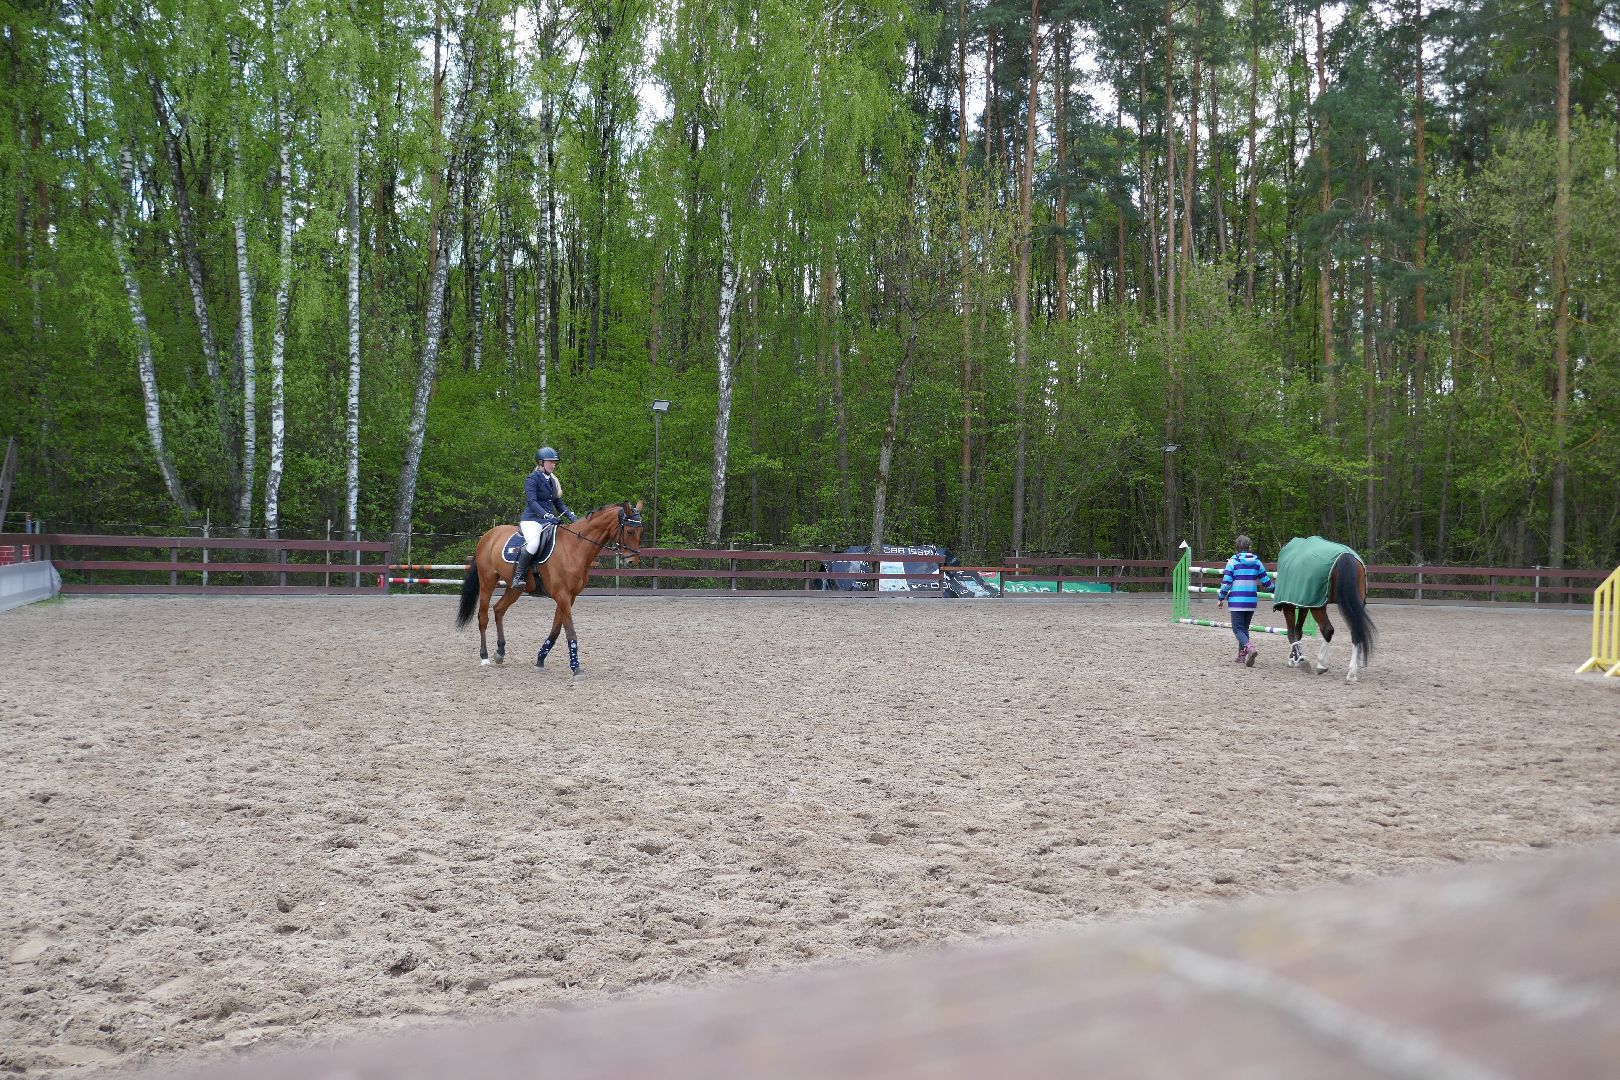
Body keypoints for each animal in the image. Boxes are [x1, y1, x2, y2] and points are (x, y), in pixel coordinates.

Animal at [454, 501, 643, 676]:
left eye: (640, 531)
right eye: (630, 531)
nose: (632, 561)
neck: (574, 548)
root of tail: (488, 535)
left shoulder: (570, 597)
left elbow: (556, 630)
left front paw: (540, 660)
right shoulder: (562, 595)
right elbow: (570, 631)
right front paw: (576, 668)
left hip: (514, 588)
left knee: (499, 609)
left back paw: (500, 653)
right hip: (487, 582)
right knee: (483, 617)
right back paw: (484, 657)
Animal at [1272, 535, 1377, 682]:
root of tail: (1345, 556)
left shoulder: (1291, 605)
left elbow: (1291, 632)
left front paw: (1296, 659)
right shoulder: (1306, 602)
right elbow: (1298, 631)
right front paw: (1295, 657)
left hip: (1319, 607)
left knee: (1327, 629)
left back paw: (1321, 664)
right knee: (1355, 632)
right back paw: (1352, 673)